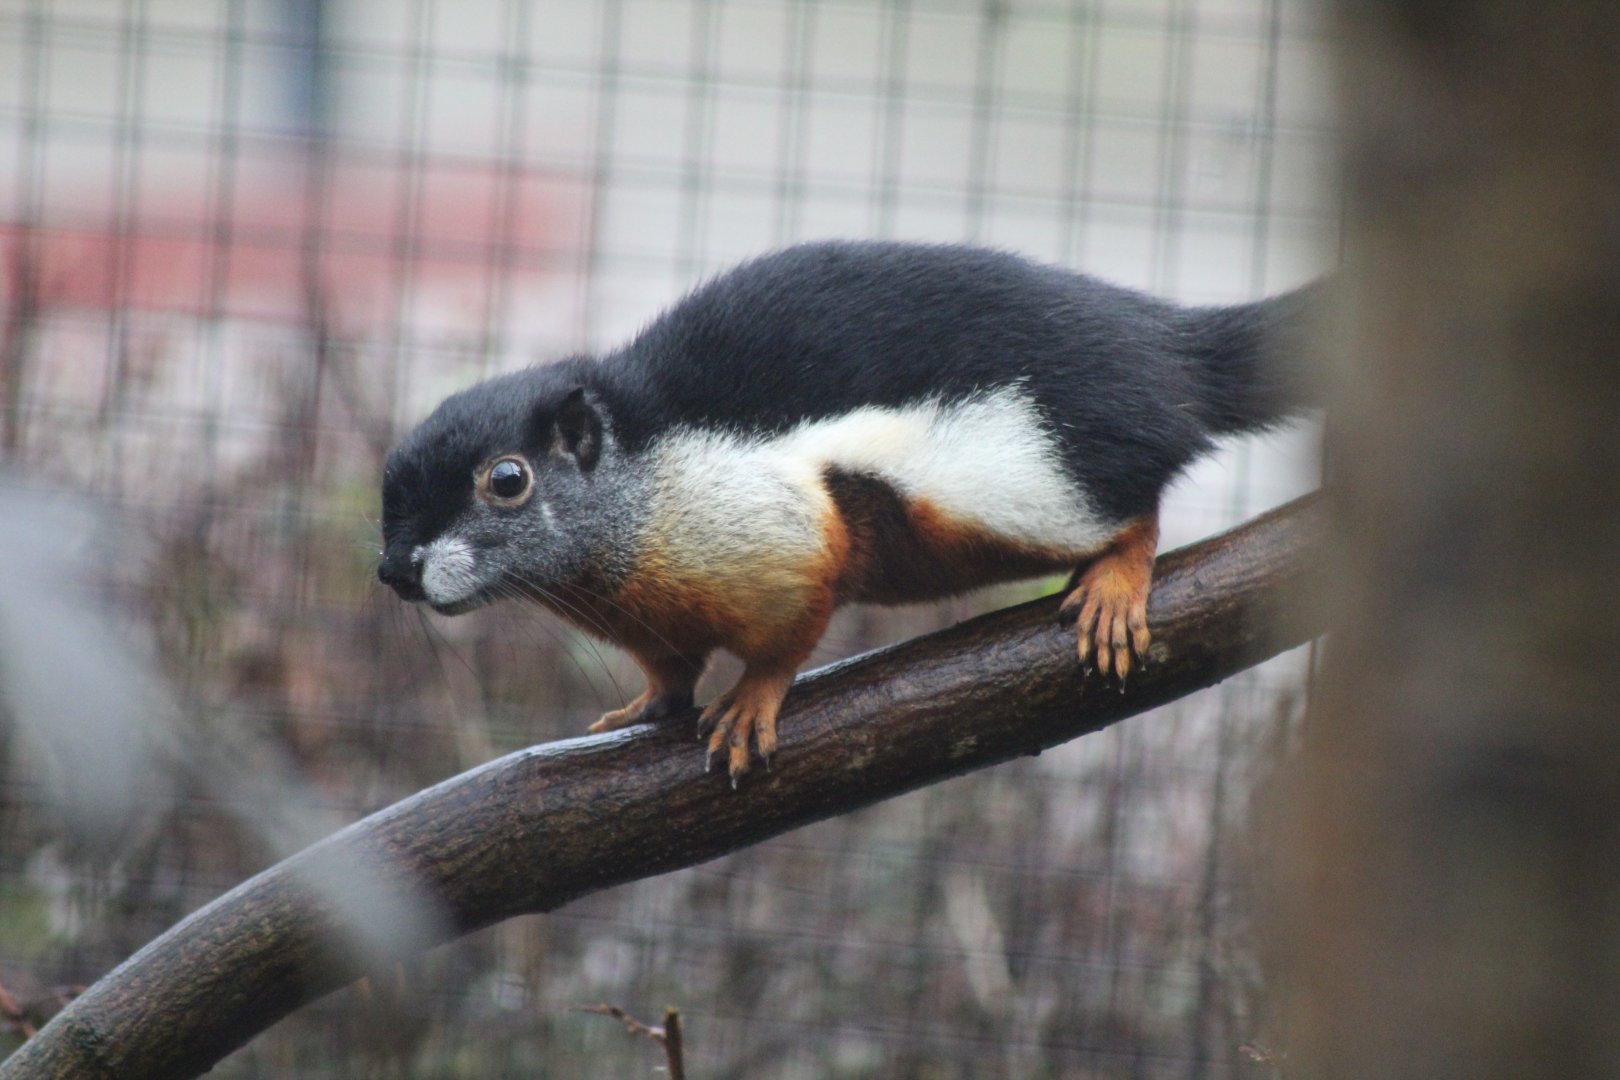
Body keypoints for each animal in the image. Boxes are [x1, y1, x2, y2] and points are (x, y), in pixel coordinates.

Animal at [378, 240, 1319, 784]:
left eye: (508, 479)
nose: (394, 571)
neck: (643, 483)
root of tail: (1169, 358)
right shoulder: (656, 616)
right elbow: (671, 670)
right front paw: (644, 706)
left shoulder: (781, 535)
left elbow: (790, 629)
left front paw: (751, 701)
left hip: (1039, 482)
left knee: (1134, 511)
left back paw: (1119, 581)